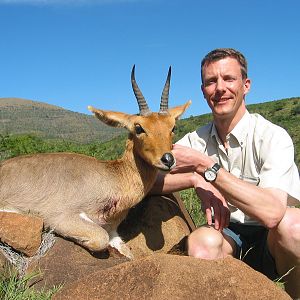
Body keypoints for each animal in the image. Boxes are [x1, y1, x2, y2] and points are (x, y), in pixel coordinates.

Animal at [0, 65, 191, 258]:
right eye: (138, 127)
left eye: (173, 127)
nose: (168, 159)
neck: (112, 176)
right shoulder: (60, 217)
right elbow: (100, 239)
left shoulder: (113, 231)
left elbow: (128, 253)